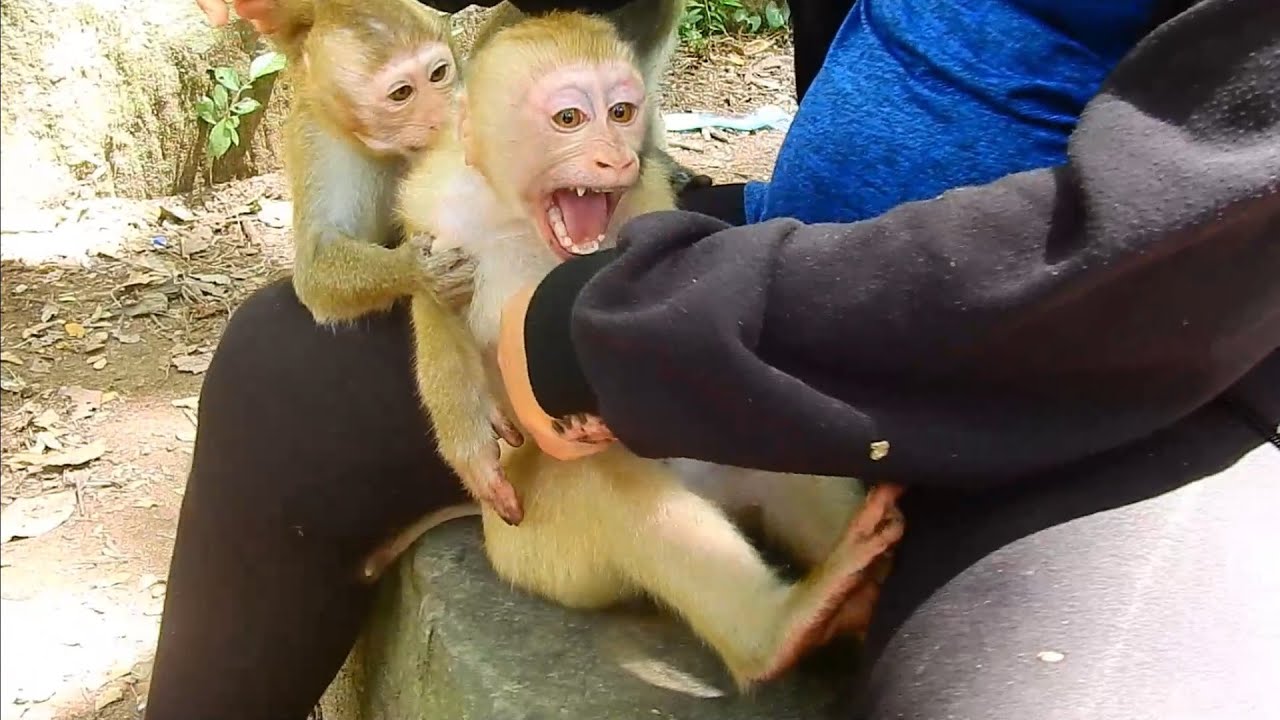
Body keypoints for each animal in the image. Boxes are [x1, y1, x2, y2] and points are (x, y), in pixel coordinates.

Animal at [260, 0, 529, 525]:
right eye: (402, 93)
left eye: (438, 74)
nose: (443, 114)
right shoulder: (318, 136)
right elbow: (316, 268)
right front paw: (418, 270)